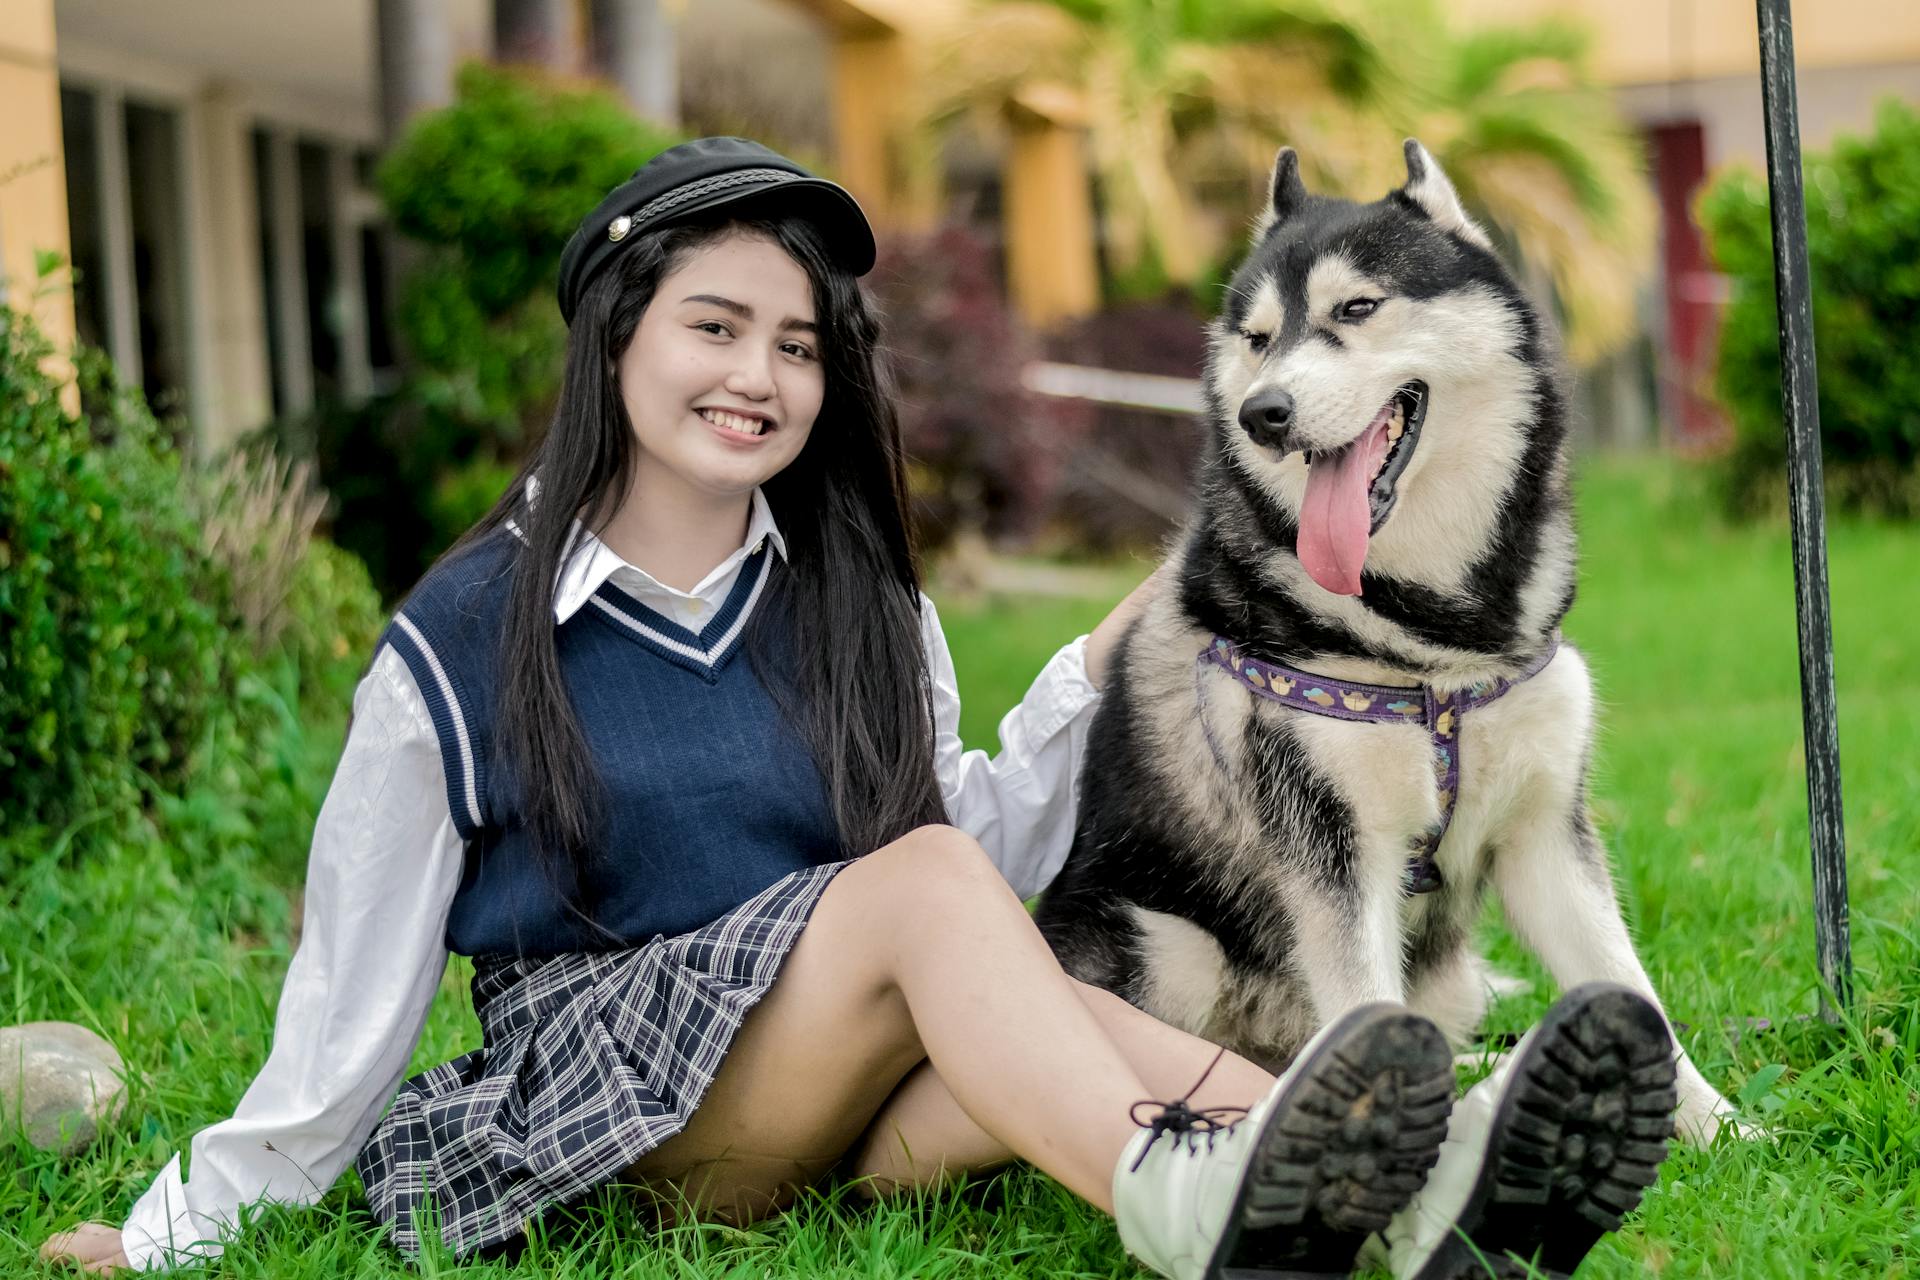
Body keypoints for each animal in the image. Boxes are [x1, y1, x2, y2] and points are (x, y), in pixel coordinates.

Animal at [1044, 138, 1735, 1143]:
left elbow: (1631, 988)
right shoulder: (1335, 856)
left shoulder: (1545, 835)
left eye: (1356, 309)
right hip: (1168, 944)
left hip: (1447, 975)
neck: (1438, 644)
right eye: (1257, 338)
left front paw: (1723, 1130)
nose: (1263, 413)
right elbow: (1363, 1006)